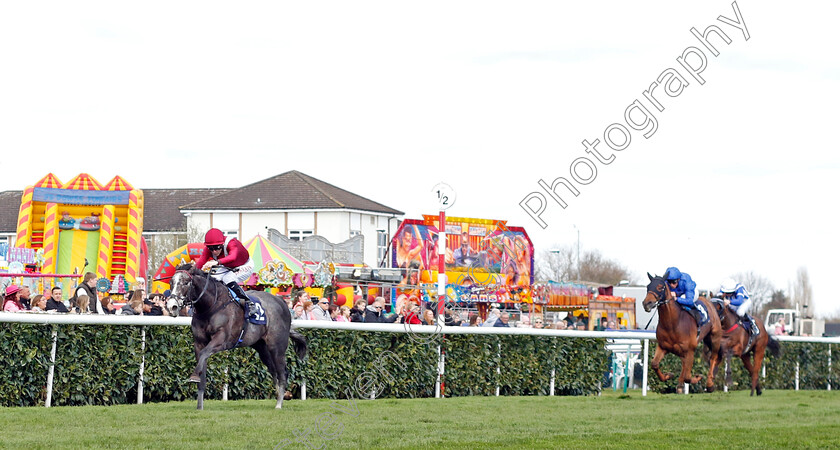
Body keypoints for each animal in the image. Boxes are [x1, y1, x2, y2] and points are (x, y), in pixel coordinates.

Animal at [166, 266, 306, 410]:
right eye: (171, 283)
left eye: (185, 283)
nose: (172, 306)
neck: (211, 306)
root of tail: (282, 302)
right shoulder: (199, 343)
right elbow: (202, 368)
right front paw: (200, 406)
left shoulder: (222, 340)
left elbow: (205, 353)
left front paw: (194, 376)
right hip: (262, 348)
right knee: (273, 370)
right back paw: (281, 395)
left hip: (277, 347)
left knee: (282, 373)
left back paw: (279, 403)